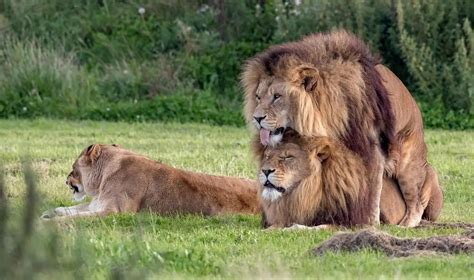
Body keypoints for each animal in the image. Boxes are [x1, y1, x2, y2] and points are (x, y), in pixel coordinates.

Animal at [243, 30, 438, 228]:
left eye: (277, 96)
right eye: (258, 97)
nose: (256, 118)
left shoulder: (373, 150)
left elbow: (372, 191)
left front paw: (368, 223)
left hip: (408, 165)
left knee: (416, 201)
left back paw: (405, 224)